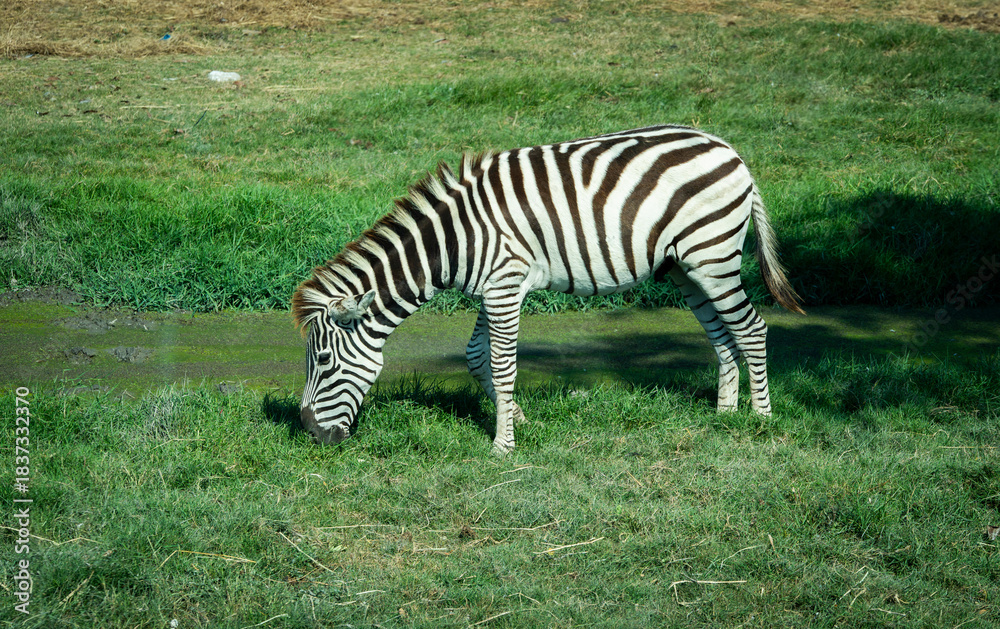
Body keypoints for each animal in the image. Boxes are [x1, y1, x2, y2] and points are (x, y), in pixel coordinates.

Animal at [292, 125, 804, 455]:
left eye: (323, 361)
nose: (310, 434)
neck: (454, 240)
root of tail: (730, 150)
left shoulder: (504, 284)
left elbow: (502, 366)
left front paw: (503, 447)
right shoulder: (494, 288)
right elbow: (477, 358)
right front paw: (517, 420)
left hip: (712, 255)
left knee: (752, 329)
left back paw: (760, 420)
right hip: (686, 268)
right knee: (723, 335)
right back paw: (724, 415)